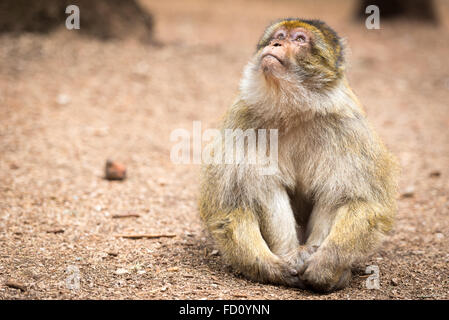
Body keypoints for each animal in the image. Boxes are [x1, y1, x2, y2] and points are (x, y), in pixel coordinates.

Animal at [198, 18, 398, 292]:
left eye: (300, 39)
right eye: (280, 35)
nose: (275, 44)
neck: (293, 108)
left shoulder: (348, 126)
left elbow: (361, 202)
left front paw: (325, 265)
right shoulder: (242, 121)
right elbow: (231, 207)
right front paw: (269, 266)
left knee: (334, 190)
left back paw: (317, 256)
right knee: (264, 184)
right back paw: (289, 255)